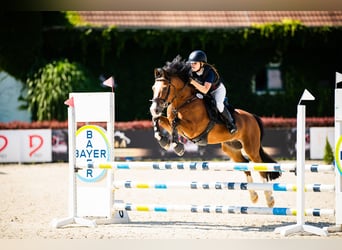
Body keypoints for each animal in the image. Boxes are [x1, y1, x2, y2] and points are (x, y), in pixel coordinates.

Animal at [149, 55, 280, 208]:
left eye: (164, 88)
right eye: (153, 88)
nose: (154, 108)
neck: (184, 102)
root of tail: (252, 117)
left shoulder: (193, 129)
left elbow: (175, 123)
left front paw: (177, 146)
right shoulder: (171, 122)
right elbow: (159, 119)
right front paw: (162, 139)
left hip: (250, 148)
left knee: (260, 167)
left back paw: (269, 199)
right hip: (231, 148)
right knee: (245, 164)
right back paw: (254, 196)